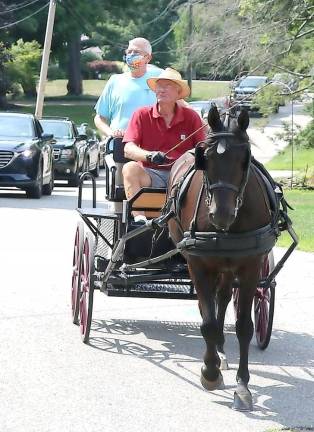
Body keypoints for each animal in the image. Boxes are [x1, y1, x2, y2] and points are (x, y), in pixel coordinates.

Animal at [167, 105, 278, 412]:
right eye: (205, 157)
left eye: (245, 159)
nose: (221, 214)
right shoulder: (198, 264)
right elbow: (207, 322)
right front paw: (210, 372)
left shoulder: (251, 265)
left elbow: (243, 326)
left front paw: (242, 386)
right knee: (210, 307)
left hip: (229, 267)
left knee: (225, 298)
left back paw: (221, 349)